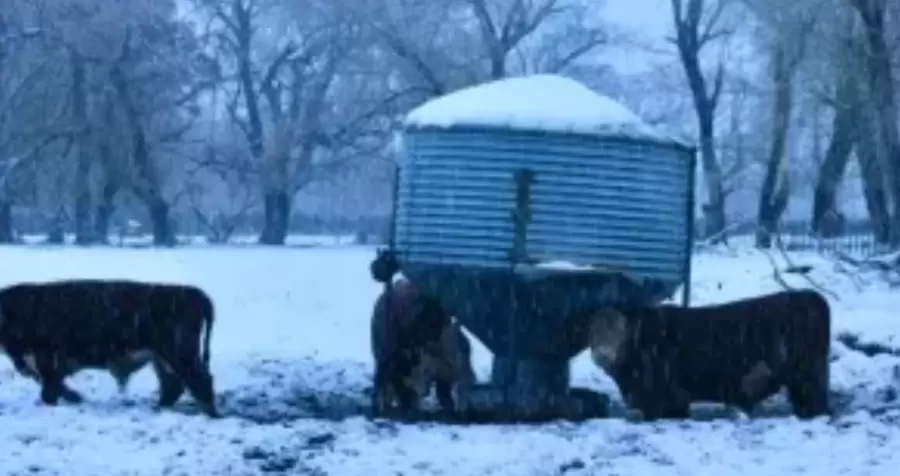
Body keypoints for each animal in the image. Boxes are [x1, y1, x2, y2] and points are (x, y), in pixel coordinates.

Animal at [0, 278, 218, 416]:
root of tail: (194, 293)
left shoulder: (47, 360)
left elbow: (49, 390)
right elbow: (56, 387)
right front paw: (76, 397)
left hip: (179, 353)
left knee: (199, 381)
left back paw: (210, 413)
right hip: (160, 358)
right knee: (173, 384)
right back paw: (158, 409)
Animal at [588, 290, 832, 420]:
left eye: (621, 330)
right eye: (593, 334)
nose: (603, 355)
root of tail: (809, 296)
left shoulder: (665, 401)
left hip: (808, 377)